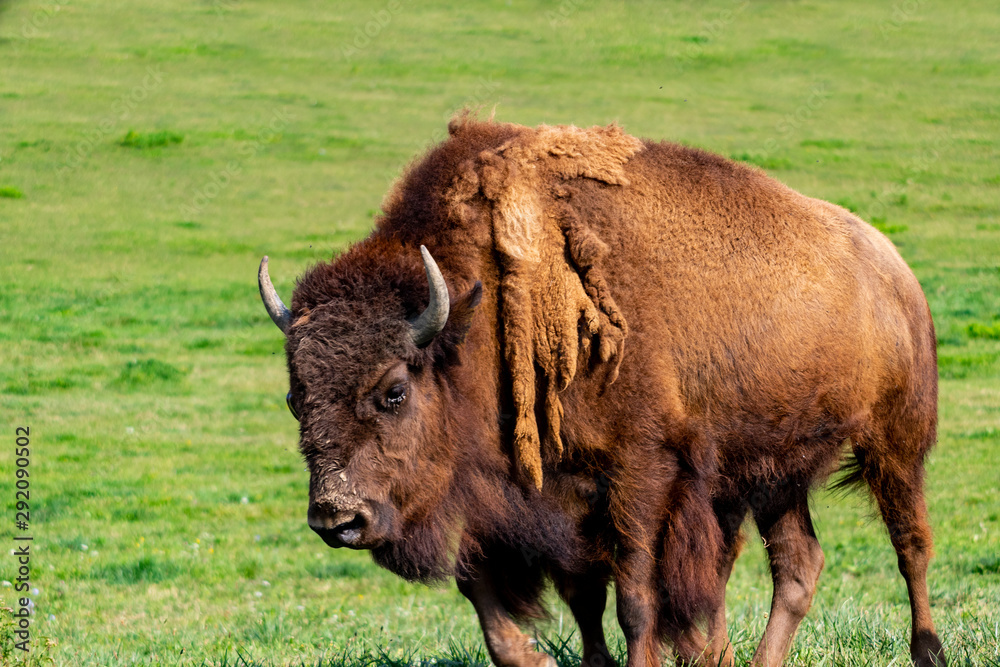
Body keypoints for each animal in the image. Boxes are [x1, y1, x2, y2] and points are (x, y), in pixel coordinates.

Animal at [258, 117, 944, 664]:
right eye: (295, 399)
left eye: (394, 391)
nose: (336, 517)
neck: (486, 312)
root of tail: (892, 268)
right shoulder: (532, 494)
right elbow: (535, 600)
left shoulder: (637, 472)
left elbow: (634, 598)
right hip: (772, 471)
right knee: (797, 566)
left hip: (894, 442)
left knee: (909, 543)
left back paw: (928, 650)